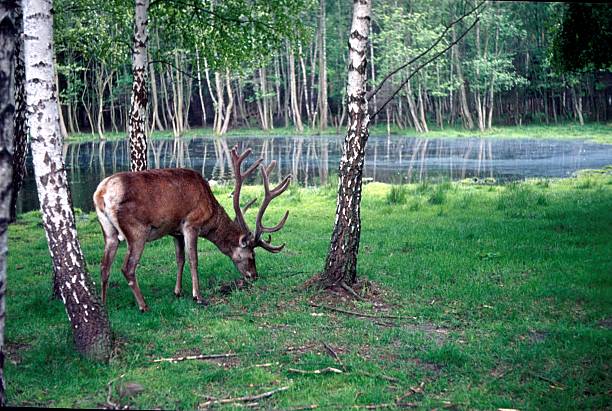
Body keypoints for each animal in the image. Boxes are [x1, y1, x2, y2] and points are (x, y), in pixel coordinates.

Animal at [92, 146, 290, 310]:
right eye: (251, 255)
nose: (254, 275)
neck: (209, 214)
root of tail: (101, 193)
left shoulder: (175, 231)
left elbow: (180, 259)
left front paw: (178, 291)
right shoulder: (191, 224)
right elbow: (193, 259)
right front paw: (198, 296)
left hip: (108, 230)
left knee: (104, 266)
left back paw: (103, 303)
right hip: (136, 230)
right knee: (127, 268)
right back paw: (143, 306)